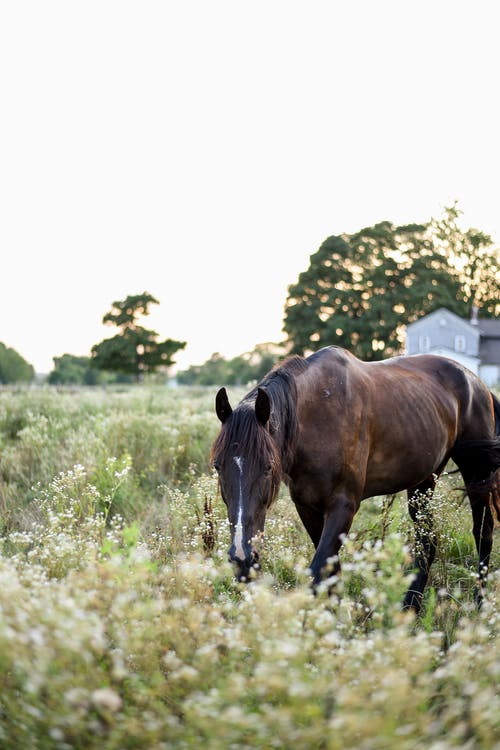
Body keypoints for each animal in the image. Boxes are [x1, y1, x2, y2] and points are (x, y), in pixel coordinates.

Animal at [211, 346, 500, 612]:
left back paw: (479, 603)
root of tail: (477, 383)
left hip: (476, 472)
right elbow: (330, 570)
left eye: (269, 467)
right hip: (424, 482)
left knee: (483, 531)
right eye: (217, 466)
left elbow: (319, 571)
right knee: (427, 540)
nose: (242, 558)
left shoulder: (344, 506)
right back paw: (410, 606)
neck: (316, 419)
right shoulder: (307, 507)